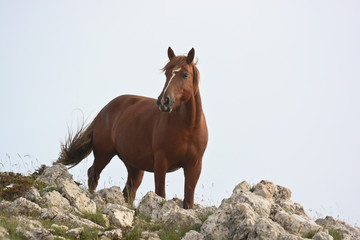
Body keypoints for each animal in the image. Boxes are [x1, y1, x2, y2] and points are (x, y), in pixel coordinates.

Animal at [56, 47, 208, 208]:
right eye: (166, 74)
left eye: (185, 75)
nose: (164, 102)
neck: (189, 128)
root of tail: (104, 110)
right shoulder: (161, 163)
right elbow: (160, 193)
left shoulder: (194, 167)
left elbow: (188, 200)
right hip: (104, 154)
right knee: (93, 174)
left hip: (134, 166)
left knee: (128, 190)